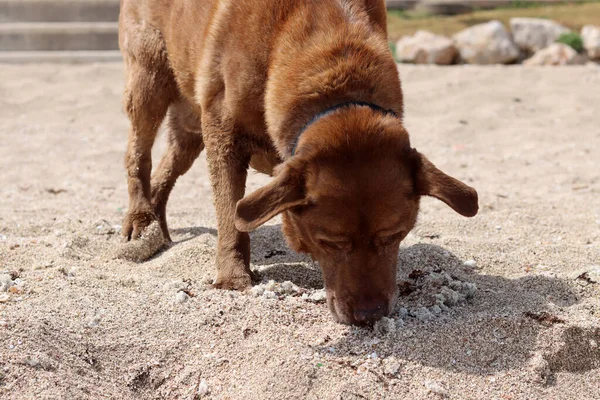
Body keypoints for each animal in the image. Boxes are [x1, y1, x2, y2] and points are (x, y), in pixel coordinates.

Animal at [118, 0, 478, 324]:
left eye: (394, 236)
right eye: (330, 242)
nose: (369, 316)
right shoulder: (222, 132)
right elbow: (230, 213)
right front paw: (233, 276)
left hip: (189, 122)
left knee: (167, 168)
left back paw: (154, 229)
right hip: (150, 77)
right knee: (138, 156)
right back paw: (140, 219)